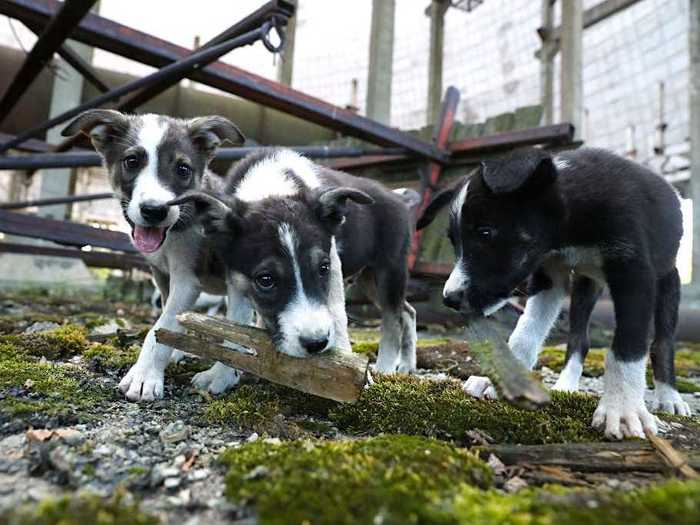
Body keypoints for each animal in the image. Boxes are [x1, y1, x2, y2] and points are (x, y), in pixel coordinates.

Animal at [60, 108, 249, 400]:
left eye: (183, 169)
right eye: (131, 162)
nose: (154, 210)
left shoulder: (186, 280)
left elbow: (160, 327)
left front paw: (144, 377)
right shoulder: (163, 276)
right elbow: (170, 320)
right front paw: (174, 352)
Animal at [175, 146, 416, 368]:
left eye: (323, 268)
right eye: (265, 280)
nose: (316, 344)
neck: (271, 185)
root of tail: (397, 196)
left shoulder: (334, 265)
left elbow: (338, 315)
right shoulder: (236, 276)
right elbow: (237, 319)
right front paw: (220, 376)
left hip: (390, 270)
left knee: (393, 321)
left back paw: (385, 369)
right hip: (369, 279)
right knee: (408, 312)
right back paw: (406, 365)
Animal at [416, 146, 688, 438]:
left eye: (485, 232)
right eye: (454, 241)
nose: (450, 299)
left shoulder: (635, 274)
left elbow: (628, 345)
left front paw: (623, 409)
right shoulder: (549, 274)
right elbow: (526, 332)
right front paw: (506, 380)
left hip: (668, 280)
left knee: (662, 343)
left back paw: (669, 397)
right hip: (585, 284)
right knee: (579, 339)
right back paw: (566, 385)